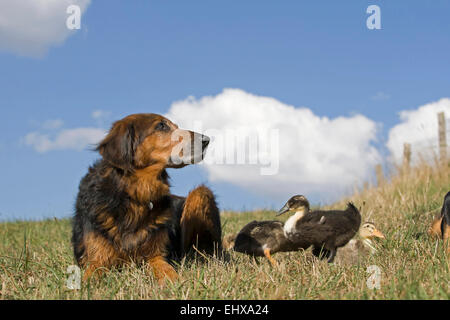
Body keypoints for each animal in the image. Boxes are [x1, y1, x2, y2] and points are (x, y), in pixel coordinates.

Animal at [71, 114, 223, 284]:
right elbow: (88, 278)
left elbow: (168, 271)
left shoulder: (156, 256)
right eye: (161, 126)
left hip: (200, 193)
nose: (206, 140)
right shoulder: (97, 259)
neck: (134, 195)